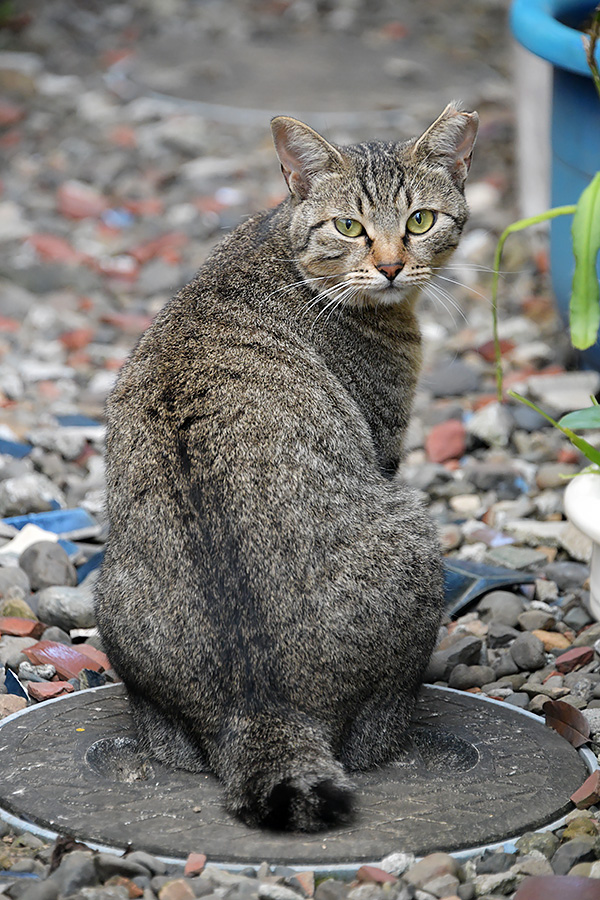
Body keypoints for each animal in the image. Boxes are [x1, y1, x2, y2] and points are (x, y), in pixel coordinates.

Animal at [95, 102, 478, 832]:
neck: (279, 243)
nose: (391, 266)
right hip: (415, 534)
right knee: (371, 735)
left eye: (419, 220)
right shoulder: (384, 444)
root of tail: (262, 706)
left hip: (113, 608)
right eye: (349, 226)